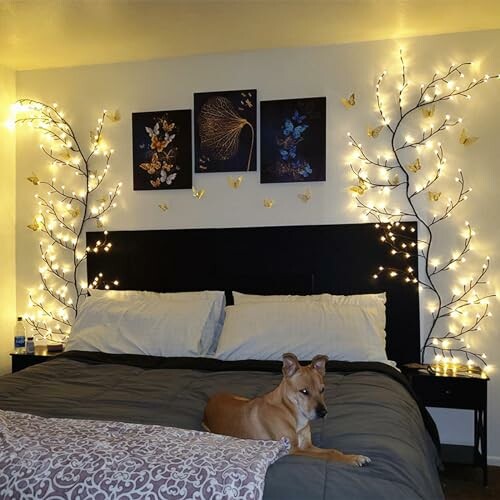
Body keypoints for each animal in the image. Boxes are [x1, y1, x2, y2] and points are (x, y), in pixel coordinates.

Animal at [203, 354, 372, 466]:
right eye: (304, 391)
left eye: (322, 390)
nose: (323, 413)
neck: (290, 411)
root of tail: (212, 399)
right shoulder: (293, 450)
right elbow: (329, 454)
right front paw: (353, 459)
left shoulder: (307, 446)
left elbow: (332, 450)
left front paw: (354, 456)